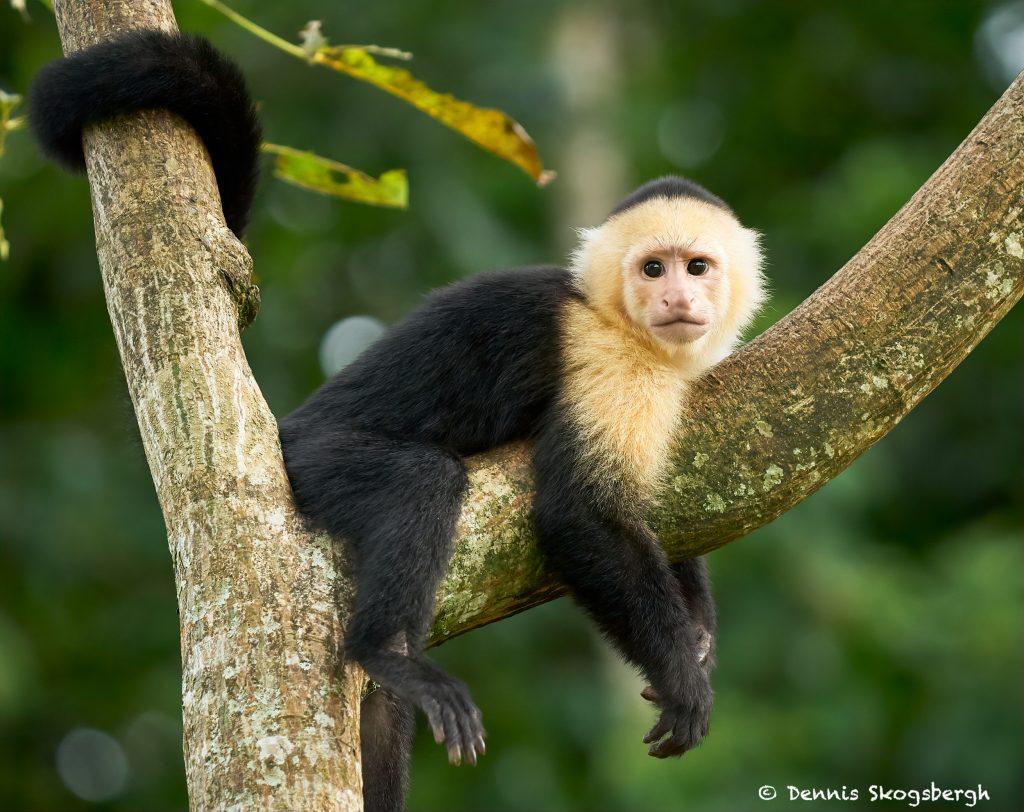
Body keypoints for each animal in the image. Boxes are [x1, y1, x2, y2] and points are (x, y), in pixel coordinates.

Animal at [28, 30, 765, 810]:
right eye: (653, 269)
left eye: (697, 266)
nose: (677, 299)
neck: (616, 321)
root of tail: (280, 427)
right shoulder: (606, 360)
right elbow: (581, 514)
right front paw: (682, 674)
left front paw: (697, 634)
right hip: (310, 460)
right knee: (421, 482)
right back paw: (384, 651)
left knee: (379, 717)